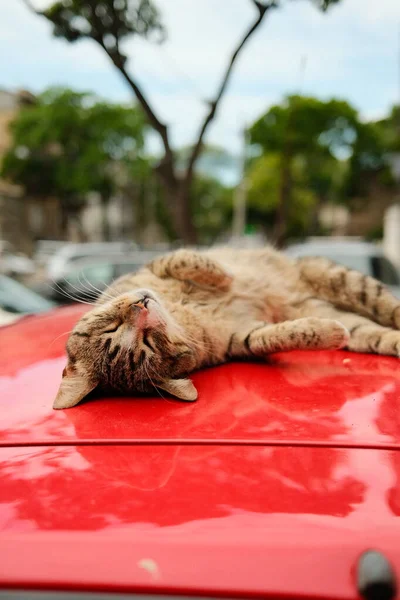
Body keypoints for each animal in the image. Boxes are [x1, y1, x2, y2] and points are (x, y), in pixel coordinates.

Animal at [53, 244, 400, 408]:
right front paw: (327, 333)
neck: (182, 316)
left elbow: (182, 260)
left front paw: (223, 274)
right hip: (353, 323)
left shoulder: (151, 269)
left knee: (390, 308)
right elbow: (277, 336)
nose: (141, 307)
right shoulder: (243, 337)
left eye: (109, 328)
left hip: (345, 281)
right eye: (147, 343)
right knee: (373, 333)